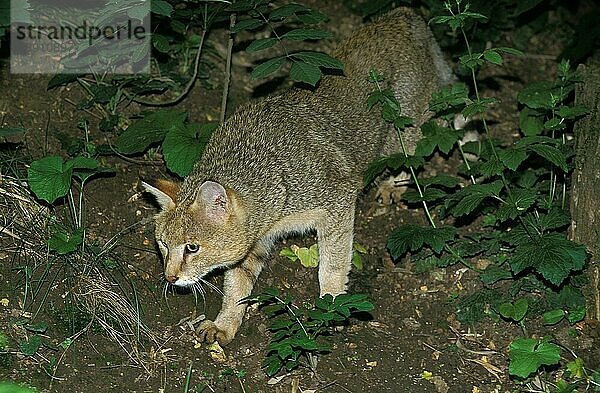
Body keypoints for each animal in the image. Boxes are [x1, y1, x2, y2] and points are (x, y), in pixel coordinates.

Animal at [143, 6, 452, 344]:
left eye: (192, 247)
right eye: (162, 243)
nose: (170, 277)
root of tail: (402, 14)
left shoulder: (338, 201)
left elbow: (332, 265)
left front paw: (332, 305)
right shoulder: (256, 243)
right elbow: (236, 287)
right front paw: (225, 323)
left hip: (402, 133)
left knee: (411, 156)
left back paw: (394, 185)